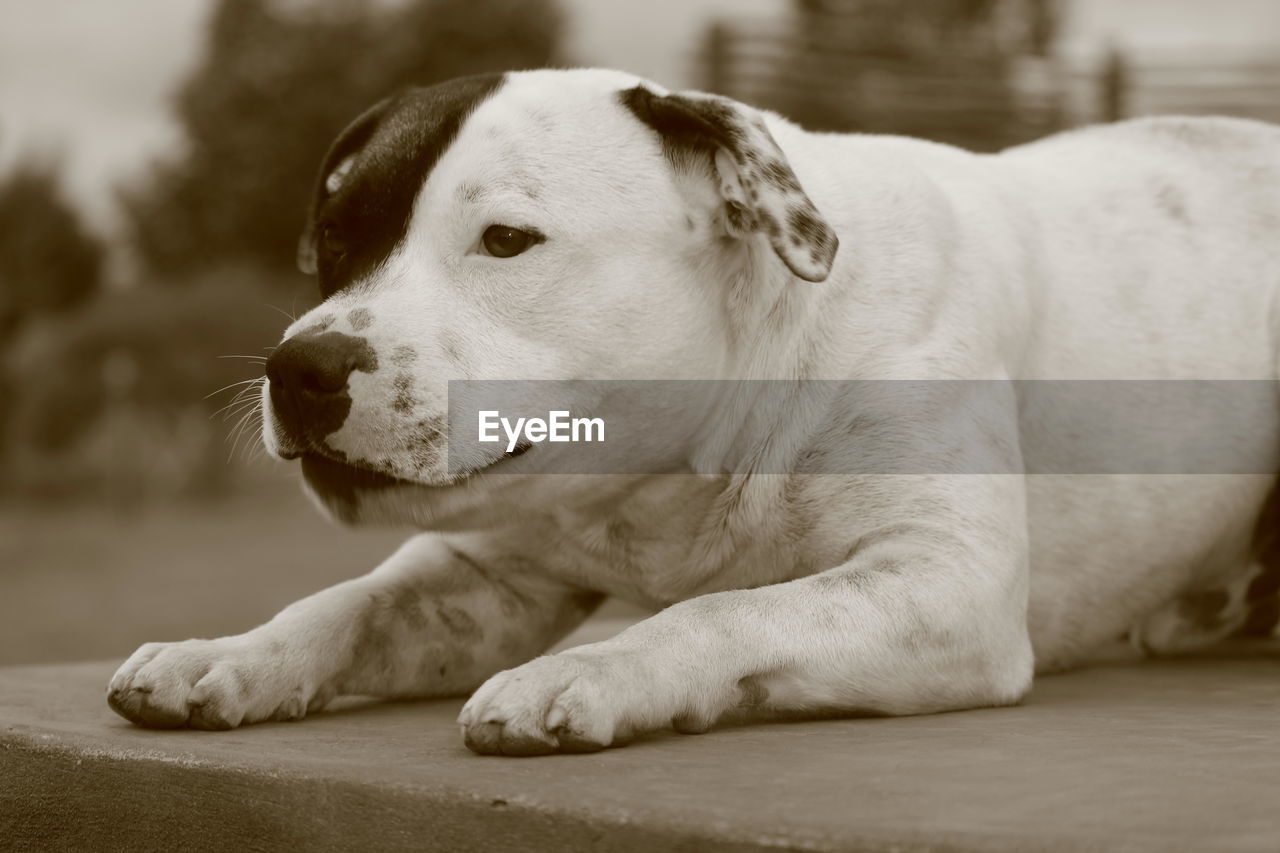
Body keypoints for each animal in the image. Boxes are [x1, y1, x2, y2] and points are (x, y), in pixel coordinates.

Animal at [107, 69, 1280, 753]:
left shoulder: (943, 583)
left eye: (506, 240)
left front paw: (584, 671)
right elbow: (348, 605)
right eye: (335, 240)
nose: (300, 364)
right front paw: (226, 653)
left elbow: (721, 611)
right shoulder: (488, 575)